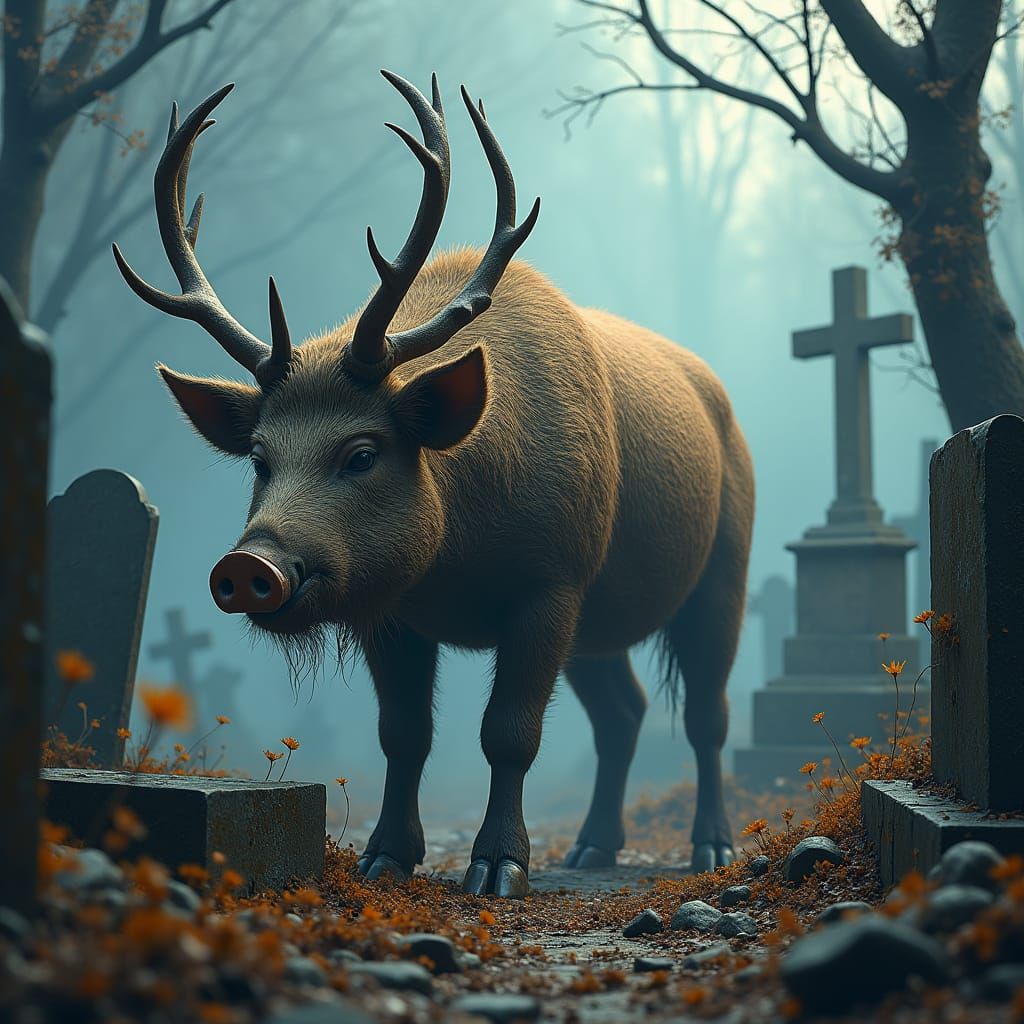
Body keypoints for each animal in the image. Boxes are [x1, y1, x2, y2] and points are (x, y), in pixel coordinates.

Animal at [113, 72, 754, 897]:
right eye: (258, 457)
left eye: (362, 452)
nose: (249, 565)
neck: (460, 548)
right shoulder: (391, 605)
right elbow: (404, 734)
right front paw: (386, 854)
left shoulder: (551, 580)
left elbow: (509, 733)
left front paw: (499, 863)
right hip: (599, 619)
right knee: (625, 712)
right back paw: (592, 845)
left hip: (723, 569)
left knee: (706, 712)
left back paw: (713, 845)